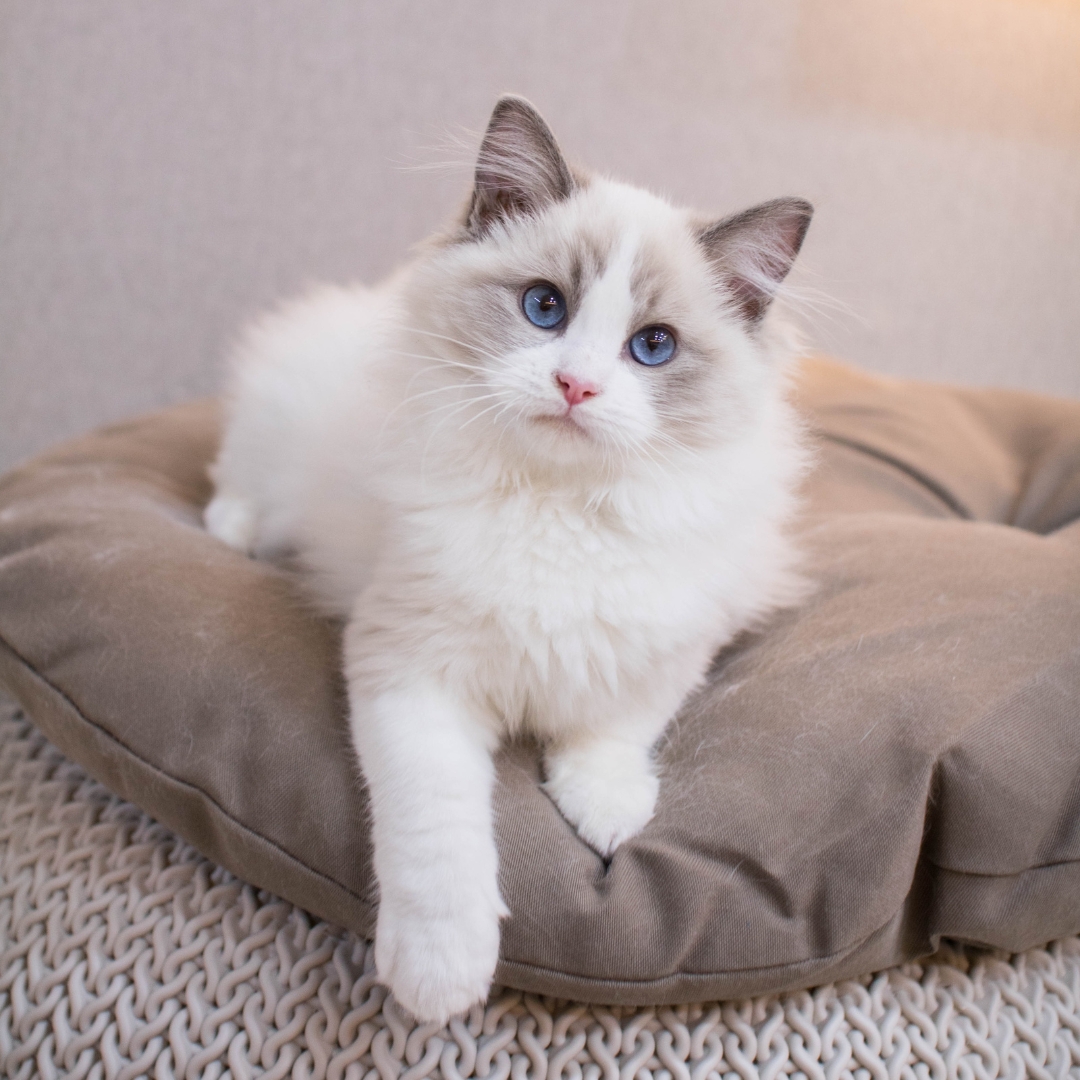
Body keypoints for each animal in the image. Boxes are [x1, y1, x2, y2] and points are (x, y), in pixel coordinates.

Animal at [203, 97, 812, 1023]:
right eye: (544, 307)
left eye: (654, 347)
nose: (576, 387)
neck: (553, 509)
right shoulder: (411, 673)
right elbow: (438, 833)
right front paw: (441, 976)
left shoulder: (674, 642)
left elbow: (616, 730)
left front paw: (606, 811)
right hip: (274, 445)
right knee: (240, 485)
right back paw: (226, 528)